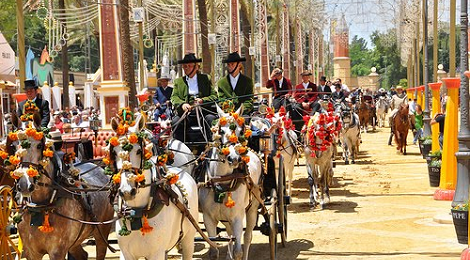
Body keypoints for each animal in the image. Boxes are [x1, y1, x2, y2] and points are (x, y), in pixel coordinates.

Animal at [109, 115, 198, 258]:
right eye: (115, 152)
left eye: (139, 150)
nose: (127, 191)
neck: (136, 211)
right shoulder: (125, 253)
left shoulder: (156, 253)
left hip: (188, 239)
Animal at [200, 105, 262, 260]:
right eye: (221, 131)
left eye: (241, 131)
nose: (234, 158)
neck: (222, 182)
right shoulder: (208, 218)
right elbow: (214, 251)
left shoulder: (237, 217)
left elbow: (238, 251)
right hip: (226, 218)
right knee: (230, 235)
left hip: (252, 209)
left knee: (247, 237)